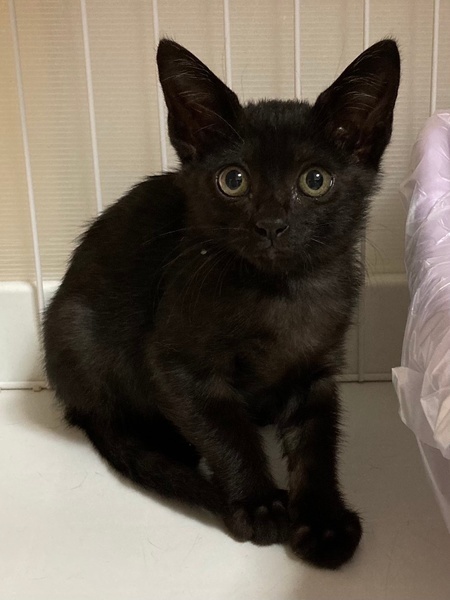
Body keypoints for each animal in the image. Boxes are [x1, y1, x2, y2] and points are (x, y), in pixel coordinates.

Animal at [43, 38, 400, 569]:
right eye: (234, 180)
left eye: (315, 180)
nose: (271, 224)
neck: (280, 294)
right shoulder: (177, 364)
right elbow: (224, 432)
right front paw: (259, 503)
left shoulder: (317, 370)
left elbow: (317, 443)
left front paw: (324, 521)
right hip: (79, 334)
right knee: (109, 421)